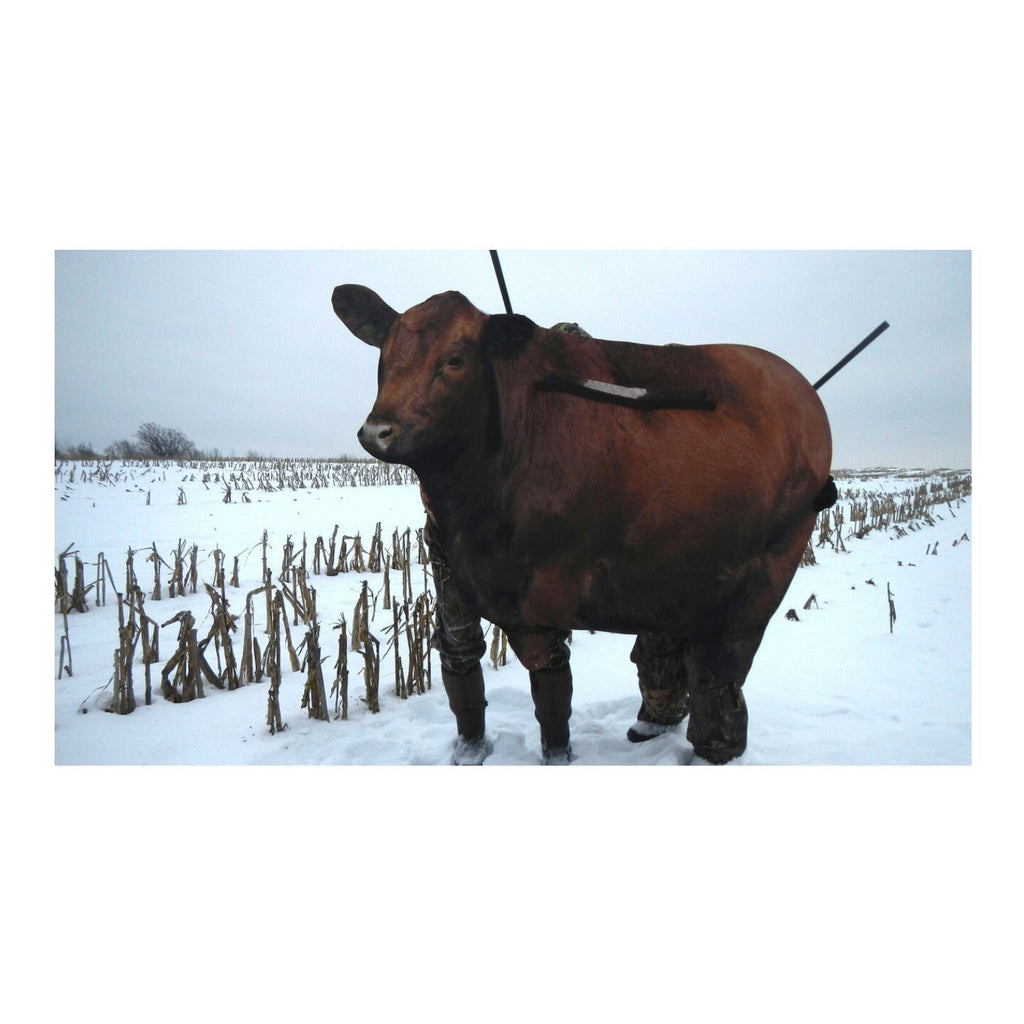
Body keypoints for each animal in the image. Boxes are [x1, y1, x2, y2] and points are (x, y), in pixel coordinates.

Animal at [332, 284, 837, 764]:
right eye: (384, 354)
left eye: (455, 359)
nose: (378, 431)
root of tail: (805, 393)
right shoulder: (461, 572)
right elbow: (464, 653)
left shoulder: (547, 586)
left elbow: (551, 682)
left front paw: (557, 755)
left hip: (760, 577)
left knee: (719, 672)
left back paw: (715, 748)